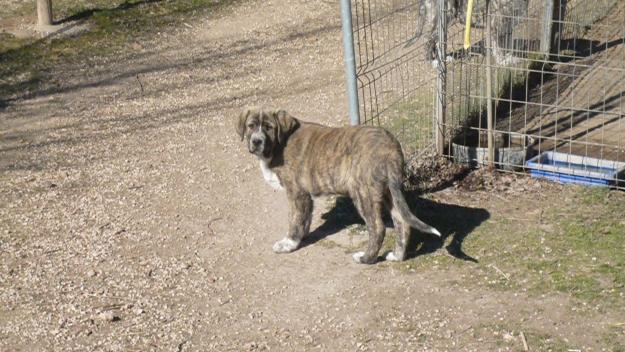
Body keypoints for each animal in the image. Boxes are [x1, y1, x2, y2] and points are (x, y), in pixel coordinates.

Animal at [234, 108, 438, 262]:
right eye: (251, 126)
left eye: (269, 128)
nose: (256, 141)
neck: (279, 144)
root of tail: (390, 146)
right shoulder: (305, 196)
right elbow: (304, 218)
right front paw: (302, 237)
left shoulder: (296, 192)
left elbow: (294, 219)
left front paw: (289, 243)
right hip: (389, 191)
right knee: (402, 222)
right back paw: (397, 256)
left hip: (363, 193)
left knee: (377, 227)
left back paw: (366, 258)